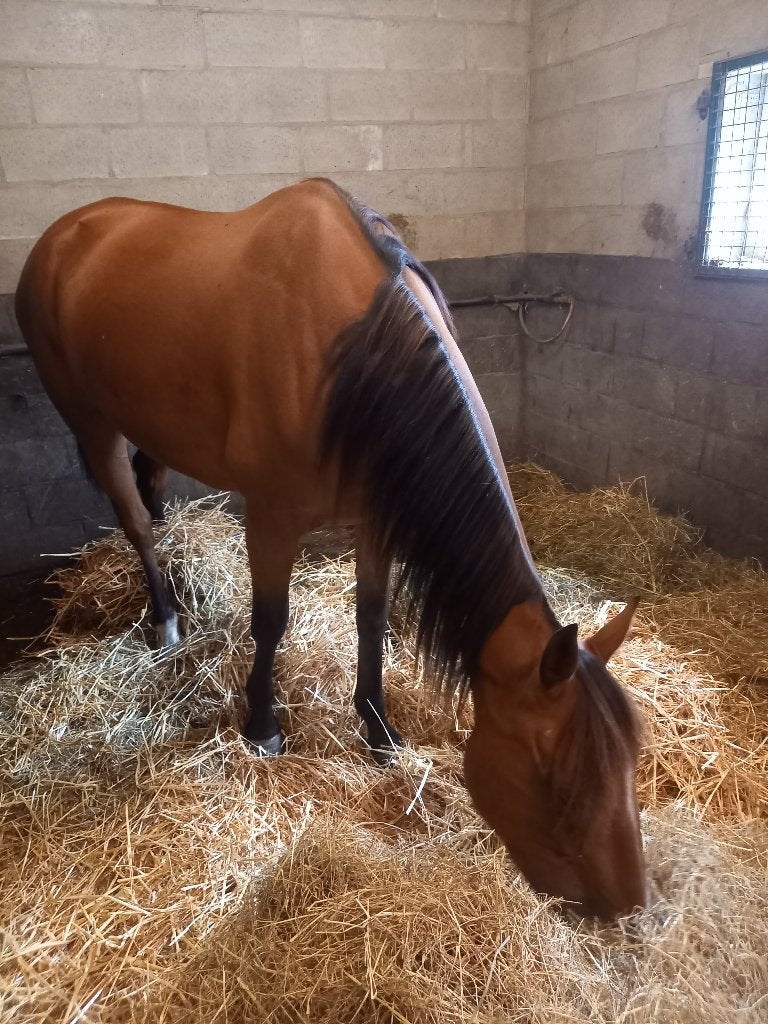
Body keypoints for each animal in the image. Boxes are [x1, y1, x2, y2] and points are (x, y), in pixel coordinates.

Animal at [15, 177, 647, 920]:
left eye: (633, 763)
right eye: (561, 786)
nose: (628, 905)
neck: (352, 353)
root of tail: (61, 235)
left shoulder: (377, 518)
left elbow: (370, 616)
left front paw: (377, 728)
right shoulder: (272, 515)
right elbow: (270, 620)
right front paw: (262, 726)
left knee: (154, 494)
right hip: (93, 424)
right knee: (137, 522)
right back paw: (166, 620)